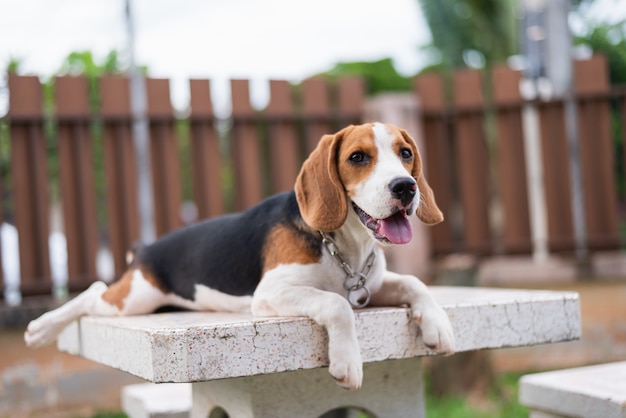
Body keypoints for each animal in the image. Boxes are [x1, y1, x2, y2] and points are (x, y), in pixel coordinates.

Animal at [24, 122, 454, 390]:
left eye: (405, 153)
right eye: (358, 158)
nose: (405, 186)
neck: (344, 245)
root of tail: (148, 247)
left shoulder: (370, 285)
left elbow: (415, 283)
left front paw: (438, 325)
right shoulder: (271, 293)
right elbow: (336, 305)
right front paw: (347, 362)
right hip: (135, 299)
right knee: (94, 291)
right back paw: (41, 328)